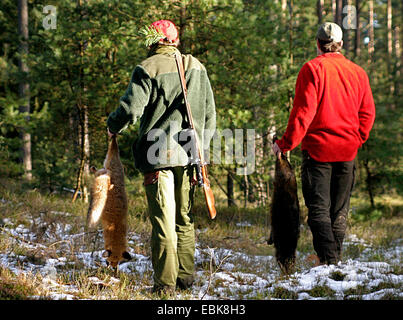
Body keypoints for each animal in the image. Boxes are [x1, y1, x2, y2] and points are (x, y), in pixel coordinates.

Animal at [87, 135, 132, 268]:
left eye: (118, 262)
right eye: (110, 261)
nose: (114, 270)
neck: (115, 229)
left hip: (107, 167)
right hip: (106, 167)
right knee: (112, 148)